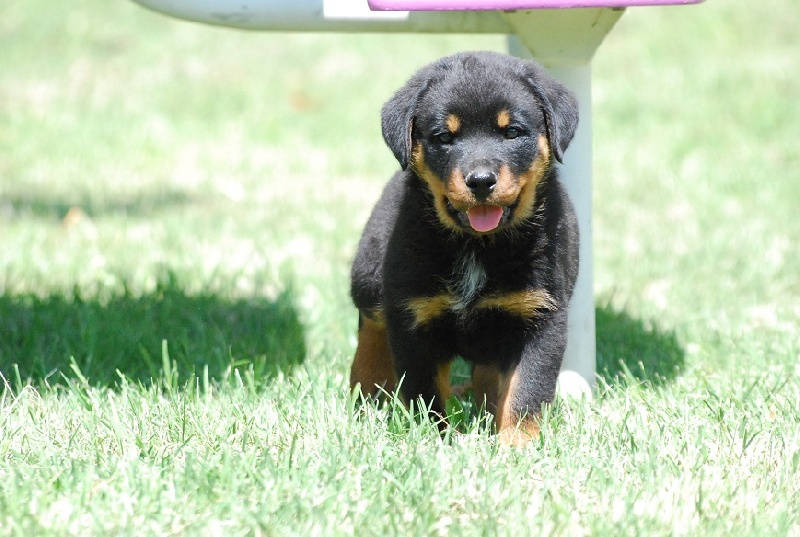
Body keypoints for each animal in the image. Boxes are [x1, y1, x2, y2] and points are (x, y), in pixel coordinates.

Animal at [349, 51, 579, 446]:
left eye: (512, 131)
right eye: (444, 136)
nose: (481, 181)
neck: (478, 246)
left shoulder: (541, 316)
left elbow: (526, 390)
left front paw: (517, 444)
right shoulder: (412, 317)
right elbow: (425, 393)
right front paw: (435, 438)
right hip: (369, 276)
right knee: (371, 329)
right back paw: (368, 393)